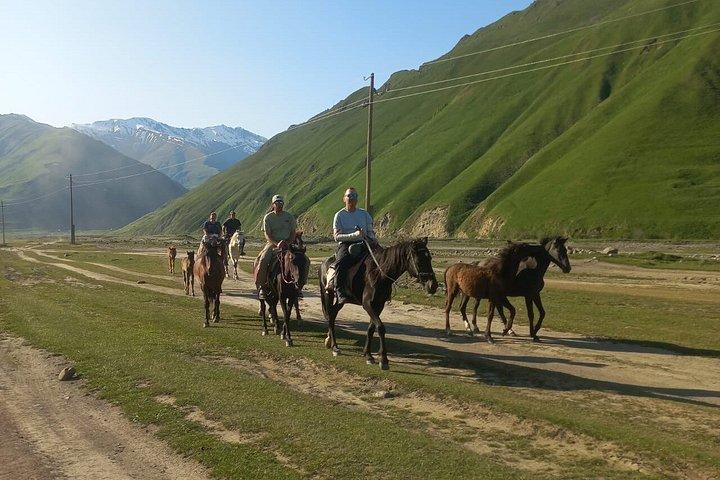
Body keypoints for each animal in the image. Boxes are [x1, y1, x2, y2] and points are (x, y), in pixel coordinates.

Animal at [319, 238, 438, 370]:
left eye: (429, 258)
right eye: (419, 260)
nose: (433, 285)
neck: (378, 273)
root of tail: (324, 263)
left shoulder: (379, 304)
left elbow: (371, 328)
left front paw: (368, 355)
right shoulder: (367, 304)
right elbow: (380, 327)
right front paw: (383, 360)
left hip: (342, 301)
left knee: (333, 314)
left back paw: (330, 342)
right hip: (328, 294)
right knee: (330, 316)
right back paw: (334, 347)